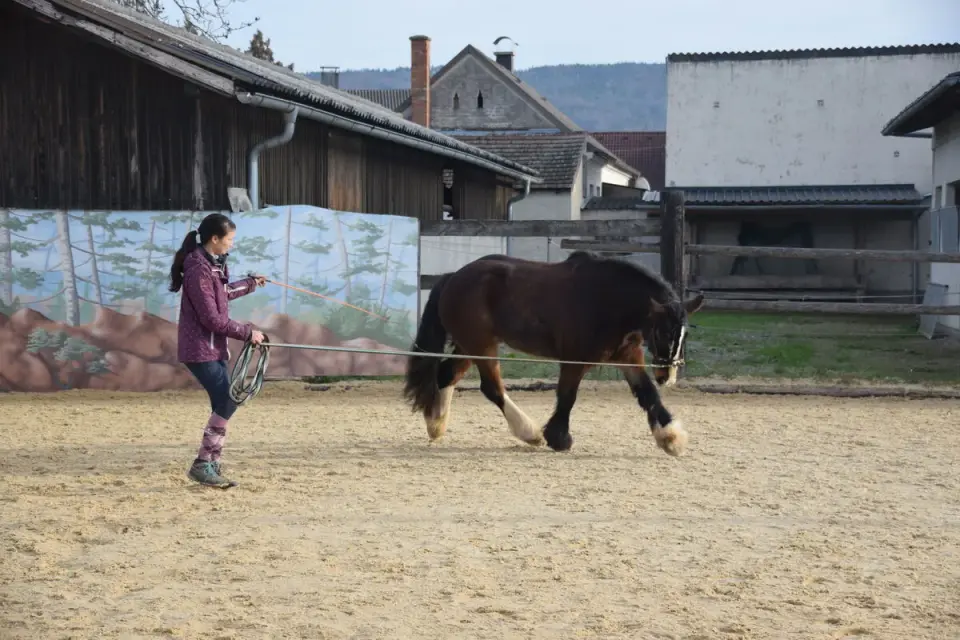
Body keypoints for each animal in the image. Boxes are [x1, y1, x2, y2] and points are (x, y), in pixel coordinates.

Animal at [402, 250, 704, 456]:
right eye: (662, 333)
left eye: (685, 334)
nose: (667, 375)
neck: (607, 299)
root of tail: (453, 277)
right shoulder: (575, 359)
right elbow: (568, 396)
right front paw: (558, 438)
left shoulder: (628, 357)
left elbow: (648, 394)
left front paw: (670, 438)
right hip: (482, 346)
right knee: (491, 388)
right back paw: (529, 433)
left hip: (469, 346)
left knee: (446, 375)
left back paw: (436, 424)